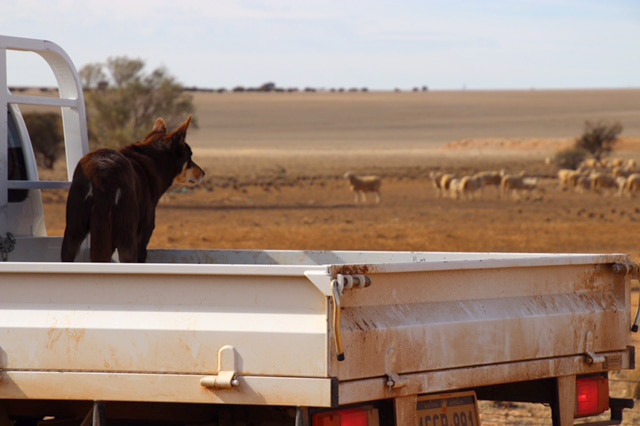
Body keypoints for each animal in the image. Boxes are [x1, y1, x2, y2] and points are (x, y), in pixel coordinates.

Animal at [61, 117, 204, 262]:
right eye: (190, 156)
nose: (203, 173)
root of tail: (101, 172)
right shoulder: (142, 235)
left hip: (73, 233)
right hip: (127, 237)